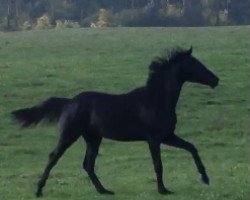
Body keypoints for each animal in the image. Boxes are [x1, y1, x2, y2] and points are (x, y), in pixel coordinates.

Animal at [11, 47, 219, 197]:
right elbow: (158, 164)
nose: (215, 80)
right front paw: (163, 190)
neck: (156, 99)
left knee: (88, 164)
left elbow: (192, 148)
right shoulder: (154, 139)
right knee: (54, 157)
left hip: (93, 138)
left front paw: (205, 178)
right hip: (70, 134)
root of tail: (69, 102)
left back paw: (104, 190)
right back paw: (39, 190)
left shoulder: (167, 135)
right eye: (196, 64)